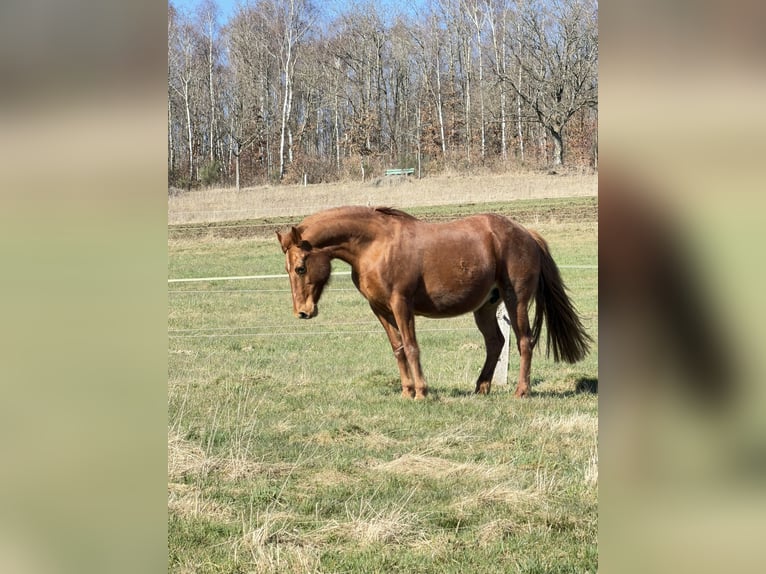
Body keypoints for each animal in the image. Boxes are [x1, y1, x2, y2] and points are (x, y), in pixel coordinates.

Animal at [277, 206, 591, 399]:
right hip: (486, 307)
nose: (302, 312)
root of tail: (527, 234)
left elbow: (412, 347)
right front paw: (406, 391)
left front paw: (421, 392)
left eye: (301, 268)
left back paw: (521, 391)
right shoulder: (380, 309)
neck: (376, 244)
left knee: (525, 341)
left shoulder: (401, 304)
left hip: (516, 301)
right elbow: (398, 349)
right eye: (288, 268)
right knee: (495, 343)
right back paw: (481, 387)